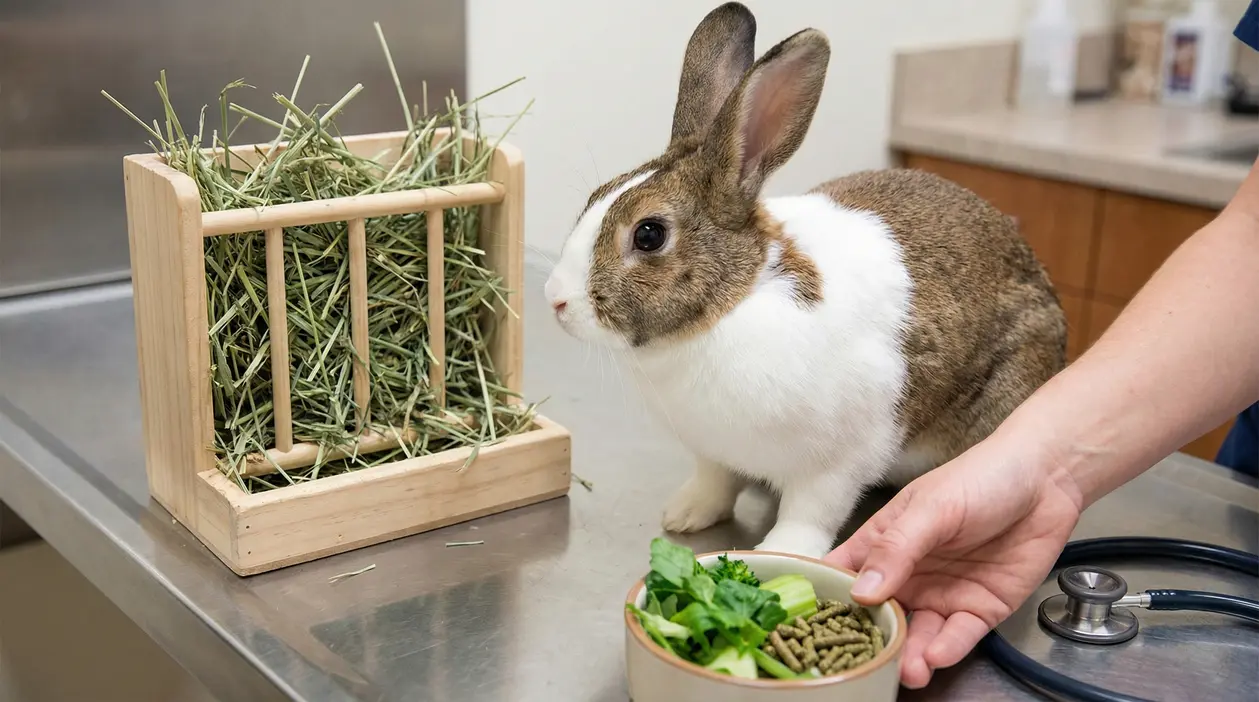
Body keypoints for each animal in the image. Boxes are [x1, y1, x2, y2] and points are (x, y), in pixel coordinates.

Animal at [542, 2, 1067, 559]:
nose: (555, 299)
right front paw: (685, 516)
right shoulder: (714, 450)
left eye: (648, 235)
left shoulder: (839, 461)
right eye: (596, 196)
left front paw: (780, 555)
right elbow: (715, 481)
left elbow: (811, 513)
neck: (730, 306)